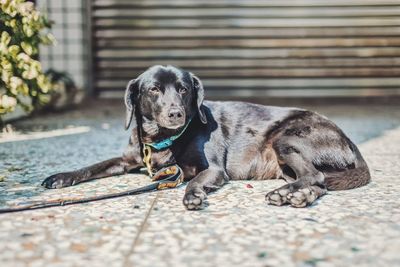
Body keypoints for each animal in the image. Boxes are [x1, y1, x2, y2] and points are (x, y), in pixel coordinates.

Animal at [42, 66, 370, 210]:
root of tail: (349, 141)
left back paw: (289, 194)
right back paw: (297, 196)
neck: (166, 139)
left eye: (184, 89)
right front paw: (61, 176)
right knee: (318, 183)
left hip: (285, 139)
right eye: (154, 90)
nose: (176, 113)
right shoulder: (127, 159)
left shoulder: (212, 169)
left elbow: (196, 180)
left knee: (315, 176)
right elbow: (93, 166)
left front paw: (192, 195)